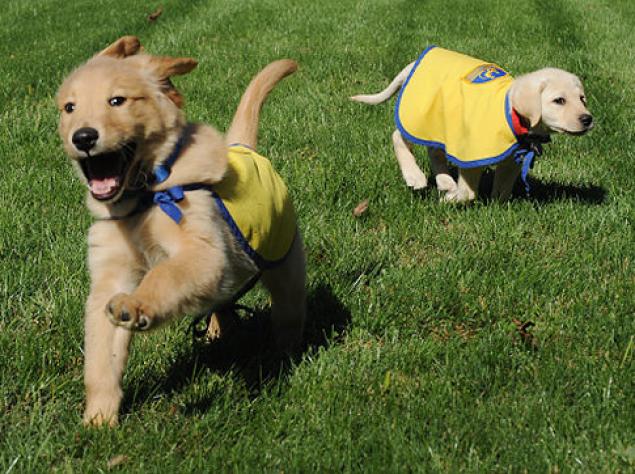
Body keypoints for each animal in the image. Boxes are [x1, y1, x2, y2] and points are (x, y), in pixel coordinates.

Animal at [57, 37, 306, 428]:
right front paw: (98, 420)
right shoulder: (108, 278)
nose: (83, 137)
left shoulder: (201, 251)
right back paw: (218, 331)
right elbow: (101, 358)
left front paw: (136, 304)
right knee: (220, 302)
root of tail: (244, 146)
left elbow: (165, 276)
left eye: (117, 101)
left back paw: (285, 352)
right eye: (69, 107)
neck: (142, 199)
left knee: (290, 311)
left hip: (285, 263)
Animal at [350, 47, 592, 203]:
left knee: (434, 151)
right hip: (417, 116)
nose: (587, 119)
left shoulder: (511, 161)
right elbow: (469, 193)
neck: (511, 114)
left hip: (439, 123)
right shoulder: (471, 154)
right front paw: (452, 198)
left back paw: (444, 181)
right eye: (559, 100)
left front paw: (495, 206)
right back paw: (415, 177)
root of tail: (413, 65)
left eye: (582, 99)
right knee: (398, 136)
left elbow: (502, 192)